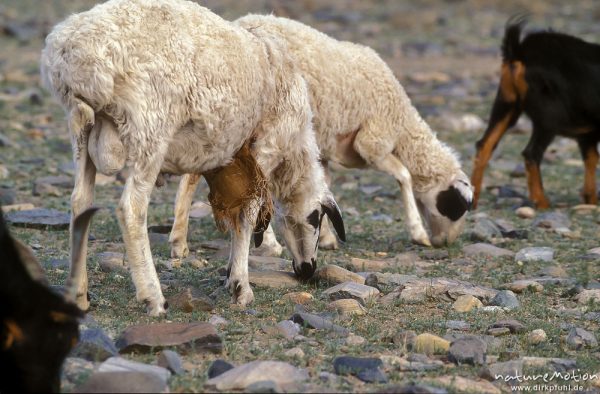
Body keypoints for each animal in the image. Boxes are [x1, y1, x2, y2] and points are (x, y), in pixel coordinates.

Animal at [41, 0, 342, 316]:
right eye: (316, 218)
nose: (308, 270)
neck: (294, 150)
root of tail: (75, 53)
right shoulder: (265, 148)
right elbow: (247, 214)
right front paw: (241, 285)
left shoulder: (223, 159)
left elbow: (228, 212)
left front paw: (230, 273)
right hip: (151, 126)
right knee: (131, 209)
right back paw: (153, 296)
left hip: (82, 131)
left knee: (80, 201)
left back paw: (80, 294)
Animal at [169, 13, 474, 258]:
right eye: (458, 205)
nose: (446, 243)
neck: (403, 127)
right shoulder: (371, 143)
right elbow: (405, 176)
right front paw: (418, 232)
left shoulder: (327, 149)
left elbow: (324, 185)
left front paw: (325, 238)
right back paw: (269, 245)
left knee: (192, 176)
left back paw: (179, 242)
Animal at [472, 17, 600, 209]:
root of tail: (519, 51)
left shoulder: (588, 136)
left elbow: (591, 160)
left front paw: (591, 200)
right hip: (549, 117)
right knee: (531, 153)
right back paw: (541, 202)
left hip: (506, 104)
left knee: (484, 145)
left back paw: (471, 200)